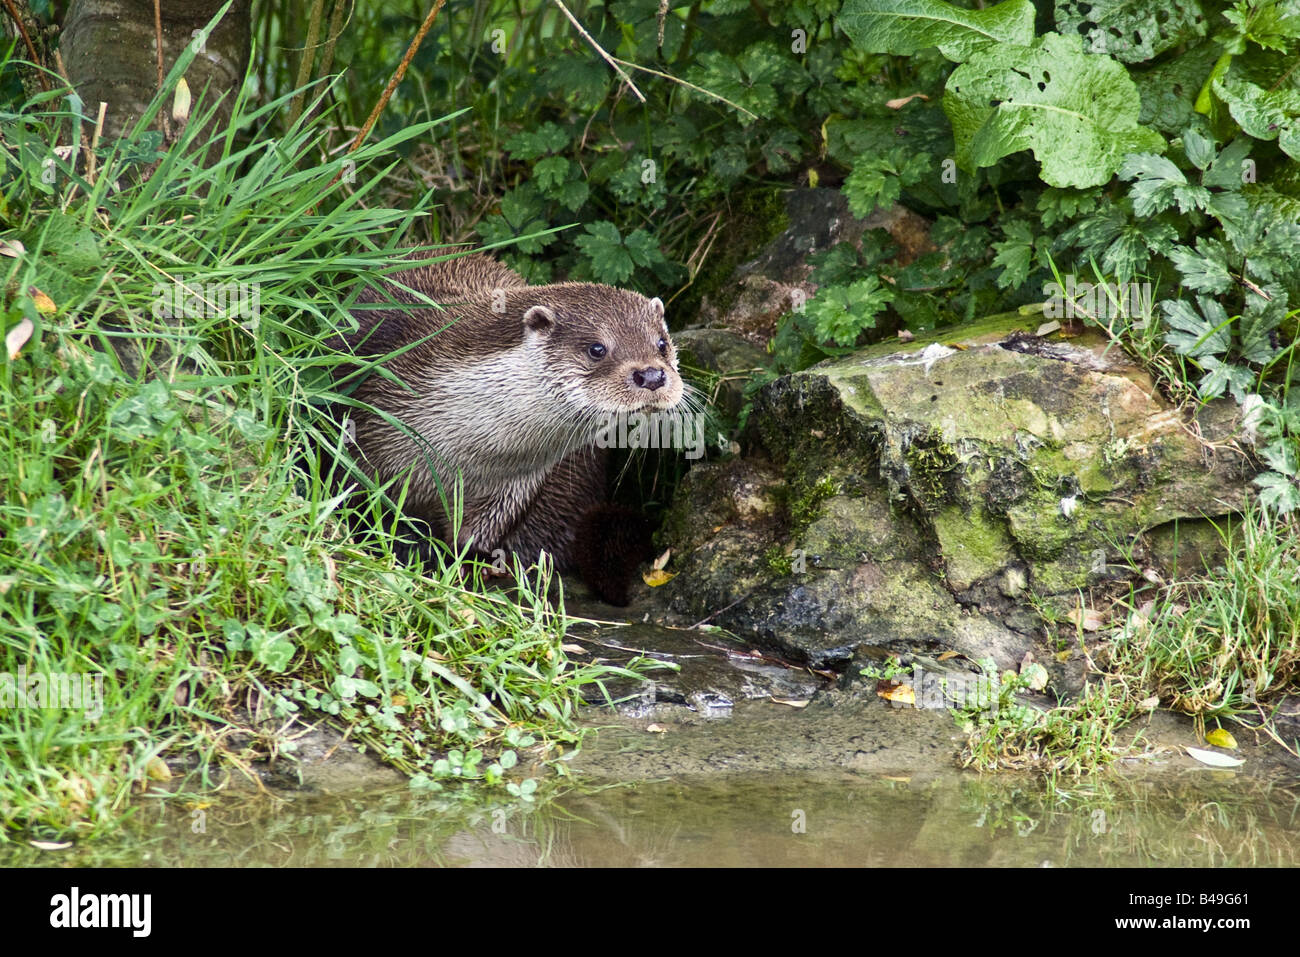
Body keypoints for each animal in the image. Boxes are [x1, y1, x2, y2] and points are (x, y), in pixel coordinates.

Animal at [330, 250, 686, 600]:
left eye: (662, 343)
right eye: (597, 348)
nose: (652, 375)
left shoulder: (515, 485)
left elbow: (478, 533)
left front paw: (470, 565)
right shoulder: (367, 429)